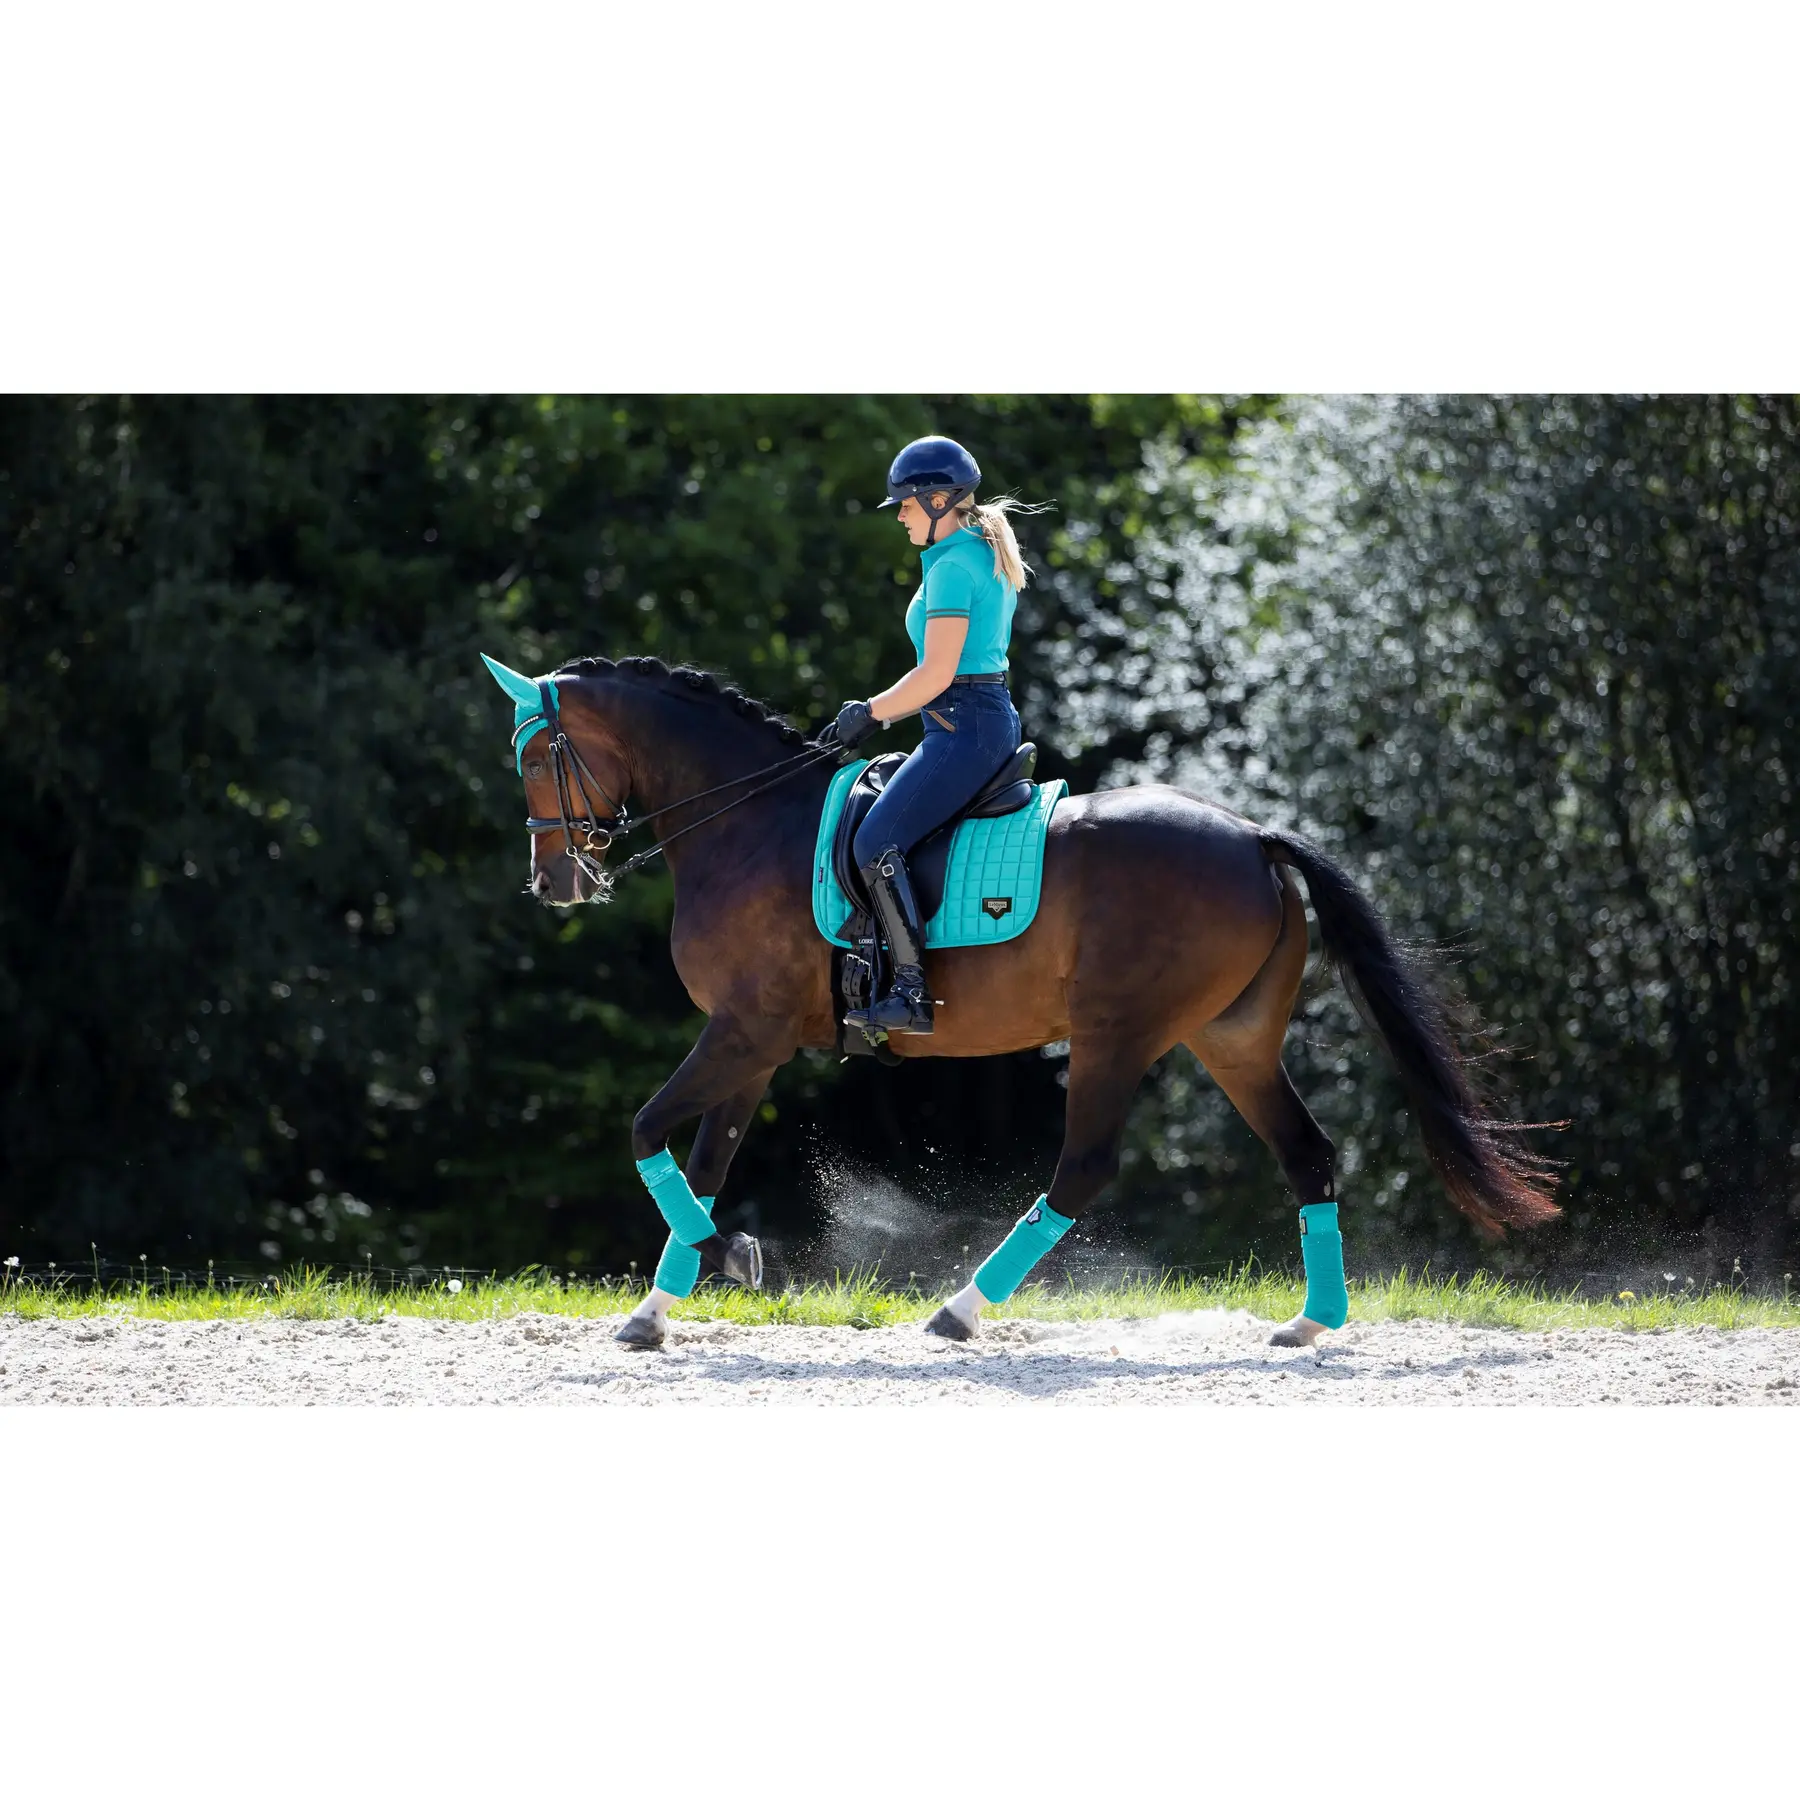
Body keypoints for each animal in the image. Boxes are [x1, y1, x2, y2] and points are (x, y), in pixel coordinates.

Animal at [484, 652, 1560, 1349]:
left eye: (535, 759)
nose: (554, 883)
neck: (751, 823)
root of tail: (1252, 836)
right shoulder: (751, 1046)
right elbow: (701, 1165)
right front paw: (659, 1306)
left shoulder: (744, 1034)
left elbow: (646, 1133)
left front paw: (727, 1258)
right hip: (1234, 1042)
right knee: (1309, 1155)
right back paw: (1309, 1322)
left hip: (1117, 1034)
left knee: (1082, 1169)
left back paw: (960, 1311)